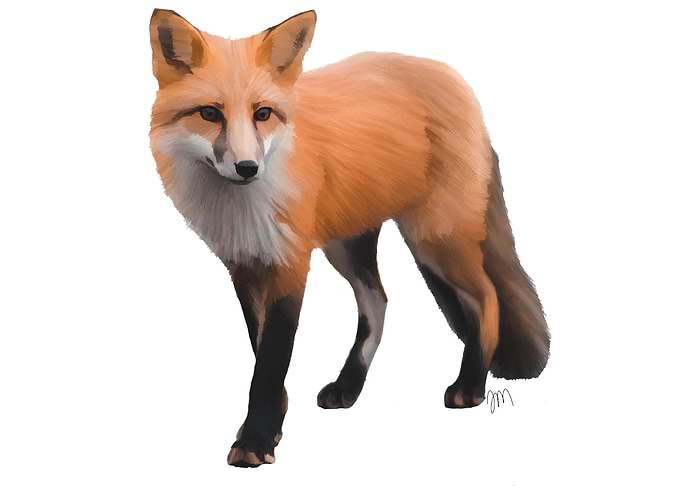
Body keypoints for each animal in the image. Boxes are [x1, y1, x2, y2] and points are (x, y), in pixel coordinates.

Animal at [148, 8, 550, 467]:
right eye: (210, 114)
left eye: (262, 113)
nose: (248, 168)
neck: (240, 207)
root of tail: (451, 77)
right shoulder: (245, 266)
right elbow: (260, 351)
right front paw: (275, 423)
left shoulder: (291, 264)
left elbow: (271, 360)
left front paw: (256, 440)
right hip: (347, 245)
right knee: (378, 302)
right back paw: (349, 387)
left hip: (434, 239)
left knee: (487, 298)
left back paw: (471, 385)